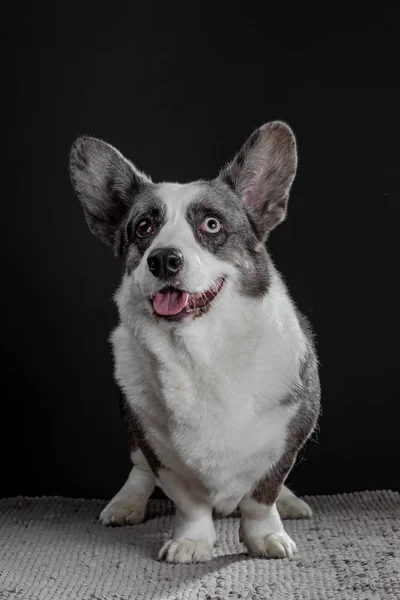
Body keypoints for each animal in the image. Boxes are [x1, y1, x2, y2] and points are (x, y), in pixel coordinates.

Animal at [68, 120, 318, 564]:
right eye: (143, 228)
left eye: (212, 225)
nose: (164, 260)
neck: (200, 348)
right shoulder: (157, 447)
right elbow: (188, 500)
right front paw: (192, 542)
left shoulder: (289, 434)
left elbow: (262, 494)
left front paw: (266, 536)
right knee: (138, 470)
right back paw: (125, 504)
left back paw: (290, 503)